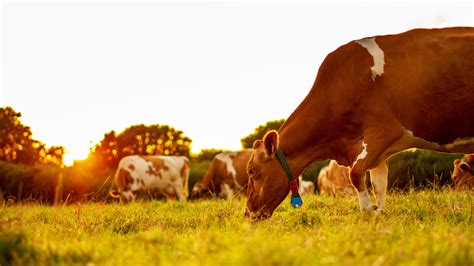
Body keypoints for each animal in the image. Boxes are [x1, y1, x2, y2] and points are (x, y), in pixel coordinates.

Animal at [244, 27, 474, 219]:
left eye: (252, 171)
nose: (247, 213)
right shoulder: (380, 152)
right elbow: (378, 185)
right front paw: (379, 215)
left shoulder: (384, 131)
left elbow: (355, 174)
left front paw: (368, 211)